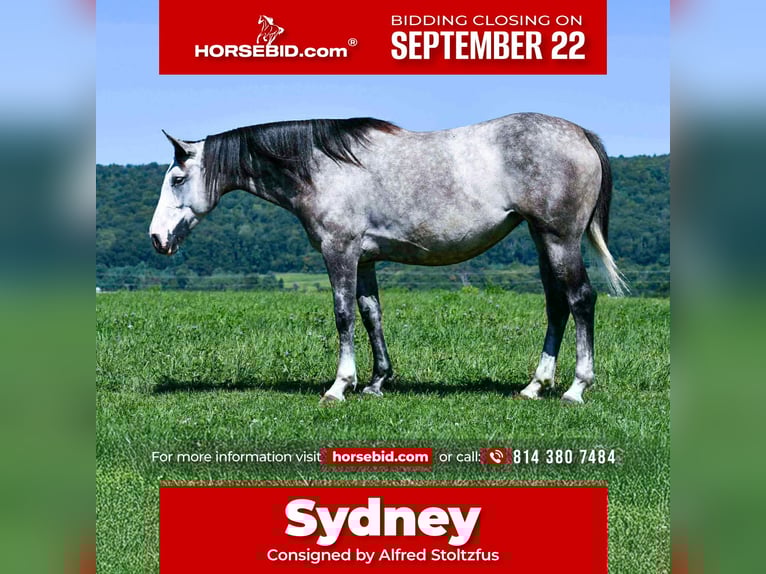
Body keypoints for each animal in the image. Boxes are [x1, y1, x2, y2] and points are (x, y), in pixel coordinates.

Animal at [149, 114, 627, 405]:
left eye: (177, 179)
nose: (156, 238)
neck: (324, 165)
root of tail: (581, 134)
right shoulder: (364, 260)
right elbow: (370, 314)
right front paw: (378, 381)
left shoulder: (339, 251)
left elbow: (343, 314)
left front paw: (340, 385)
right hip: (543, 240)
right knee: (557, 306)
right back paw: (535, 386)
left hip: (559, 240)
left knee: (581, 300)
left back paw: (575, 388)